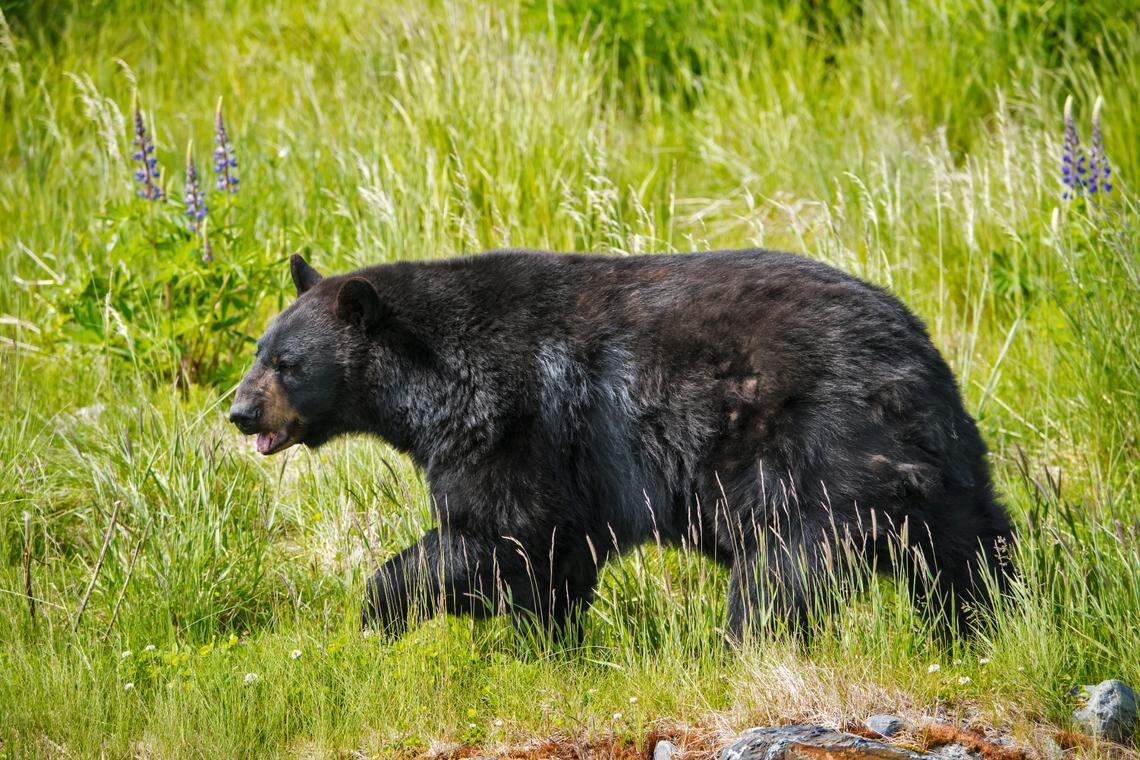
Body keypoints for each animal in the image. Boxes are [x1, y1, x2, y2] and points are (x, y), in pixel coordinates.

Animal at [229, 249, 1015, 641]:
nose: (238, 410)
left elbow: (501, 531)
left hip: (816, 450)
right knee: (968, 544)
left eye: (287, 363)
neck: (430, 373)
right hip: (935, 454)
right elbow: (555, 561)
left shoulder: (512, 420)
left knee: (783, 568)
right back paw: (986, 625)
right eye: (259, 349)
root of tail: (909, 351)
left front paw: (376, 618)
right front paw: (554, 646)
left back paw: (742, 647)